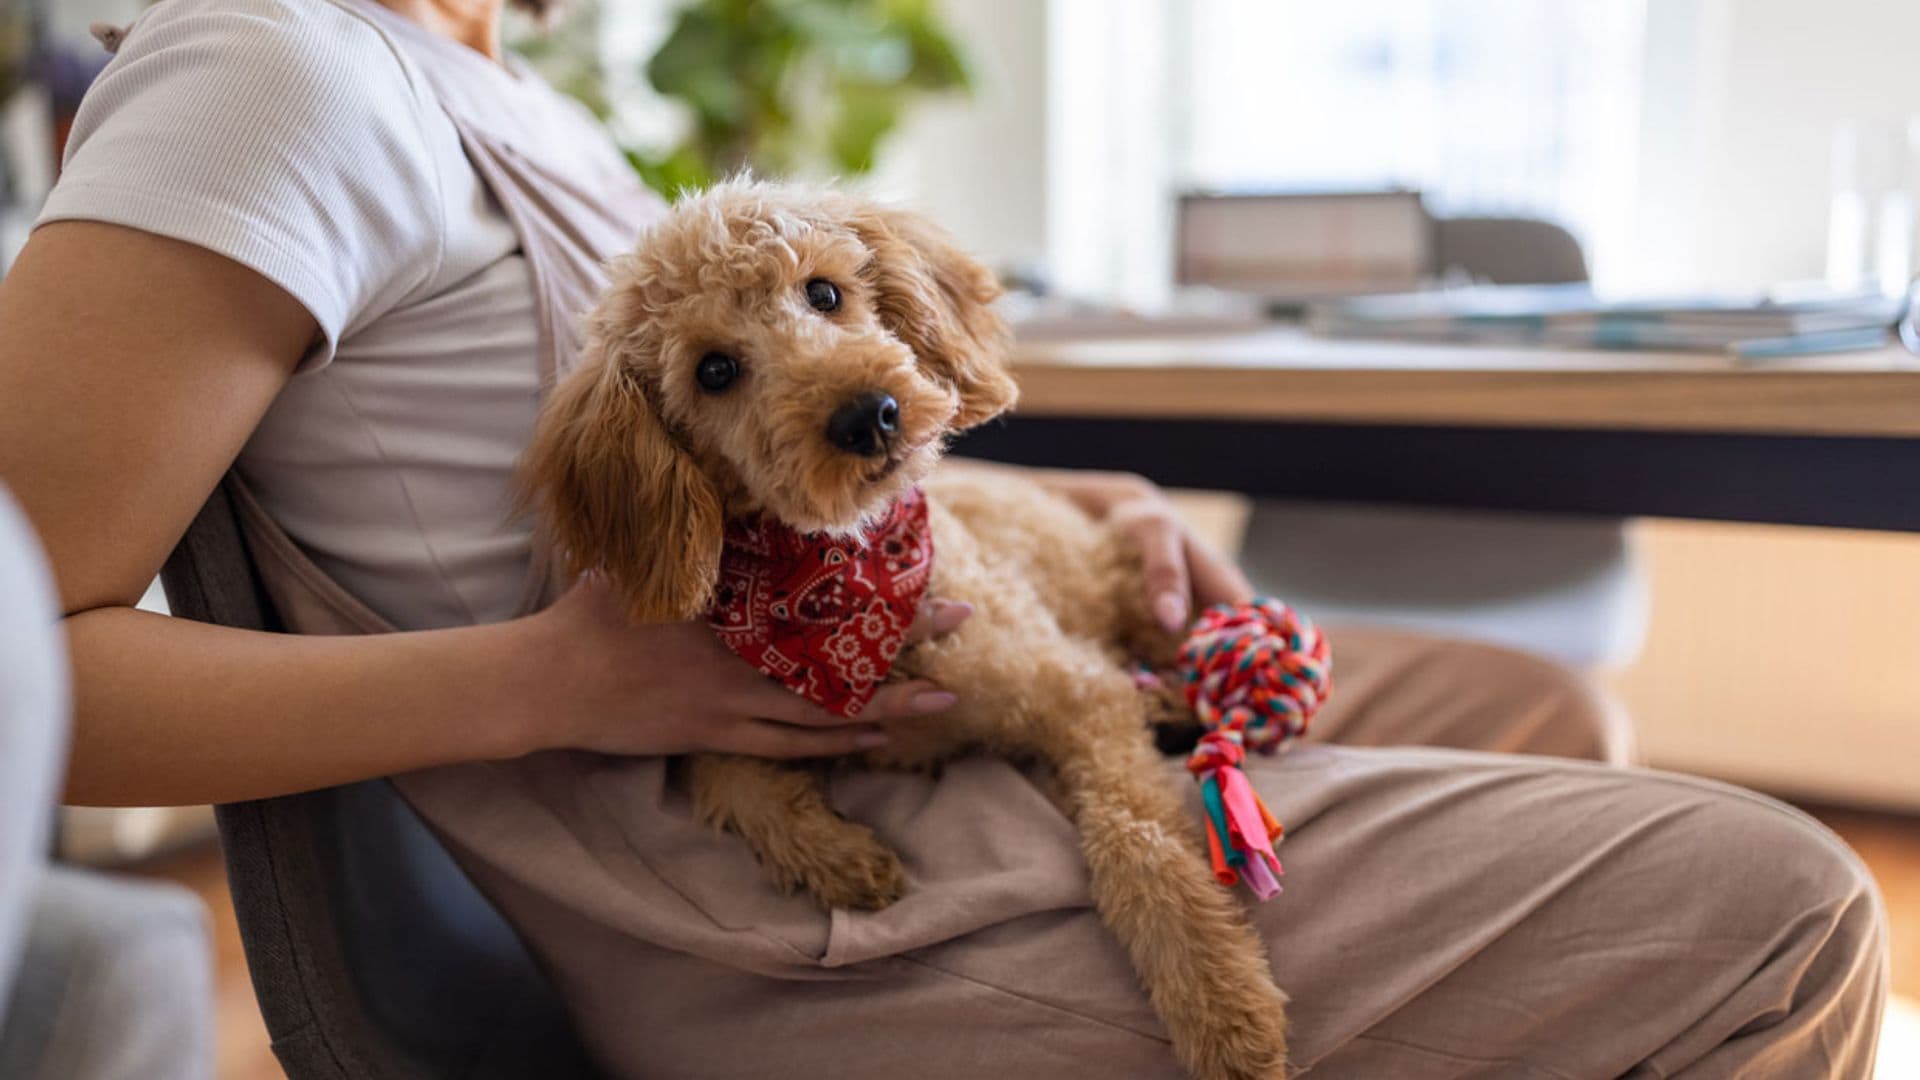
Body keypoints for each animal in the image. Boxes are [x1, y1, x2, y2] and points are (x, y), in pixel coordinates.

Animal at [518, 180, 1290, 1068]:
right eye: (713, 370)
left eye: (824, 293)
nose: (868, 415)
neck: (843, 588)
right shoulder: (724, 713)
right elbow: (728, 778)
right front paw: (841, 858)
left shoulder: (1076, 696)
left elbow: (1140, 845)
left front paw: (1223, 1008)